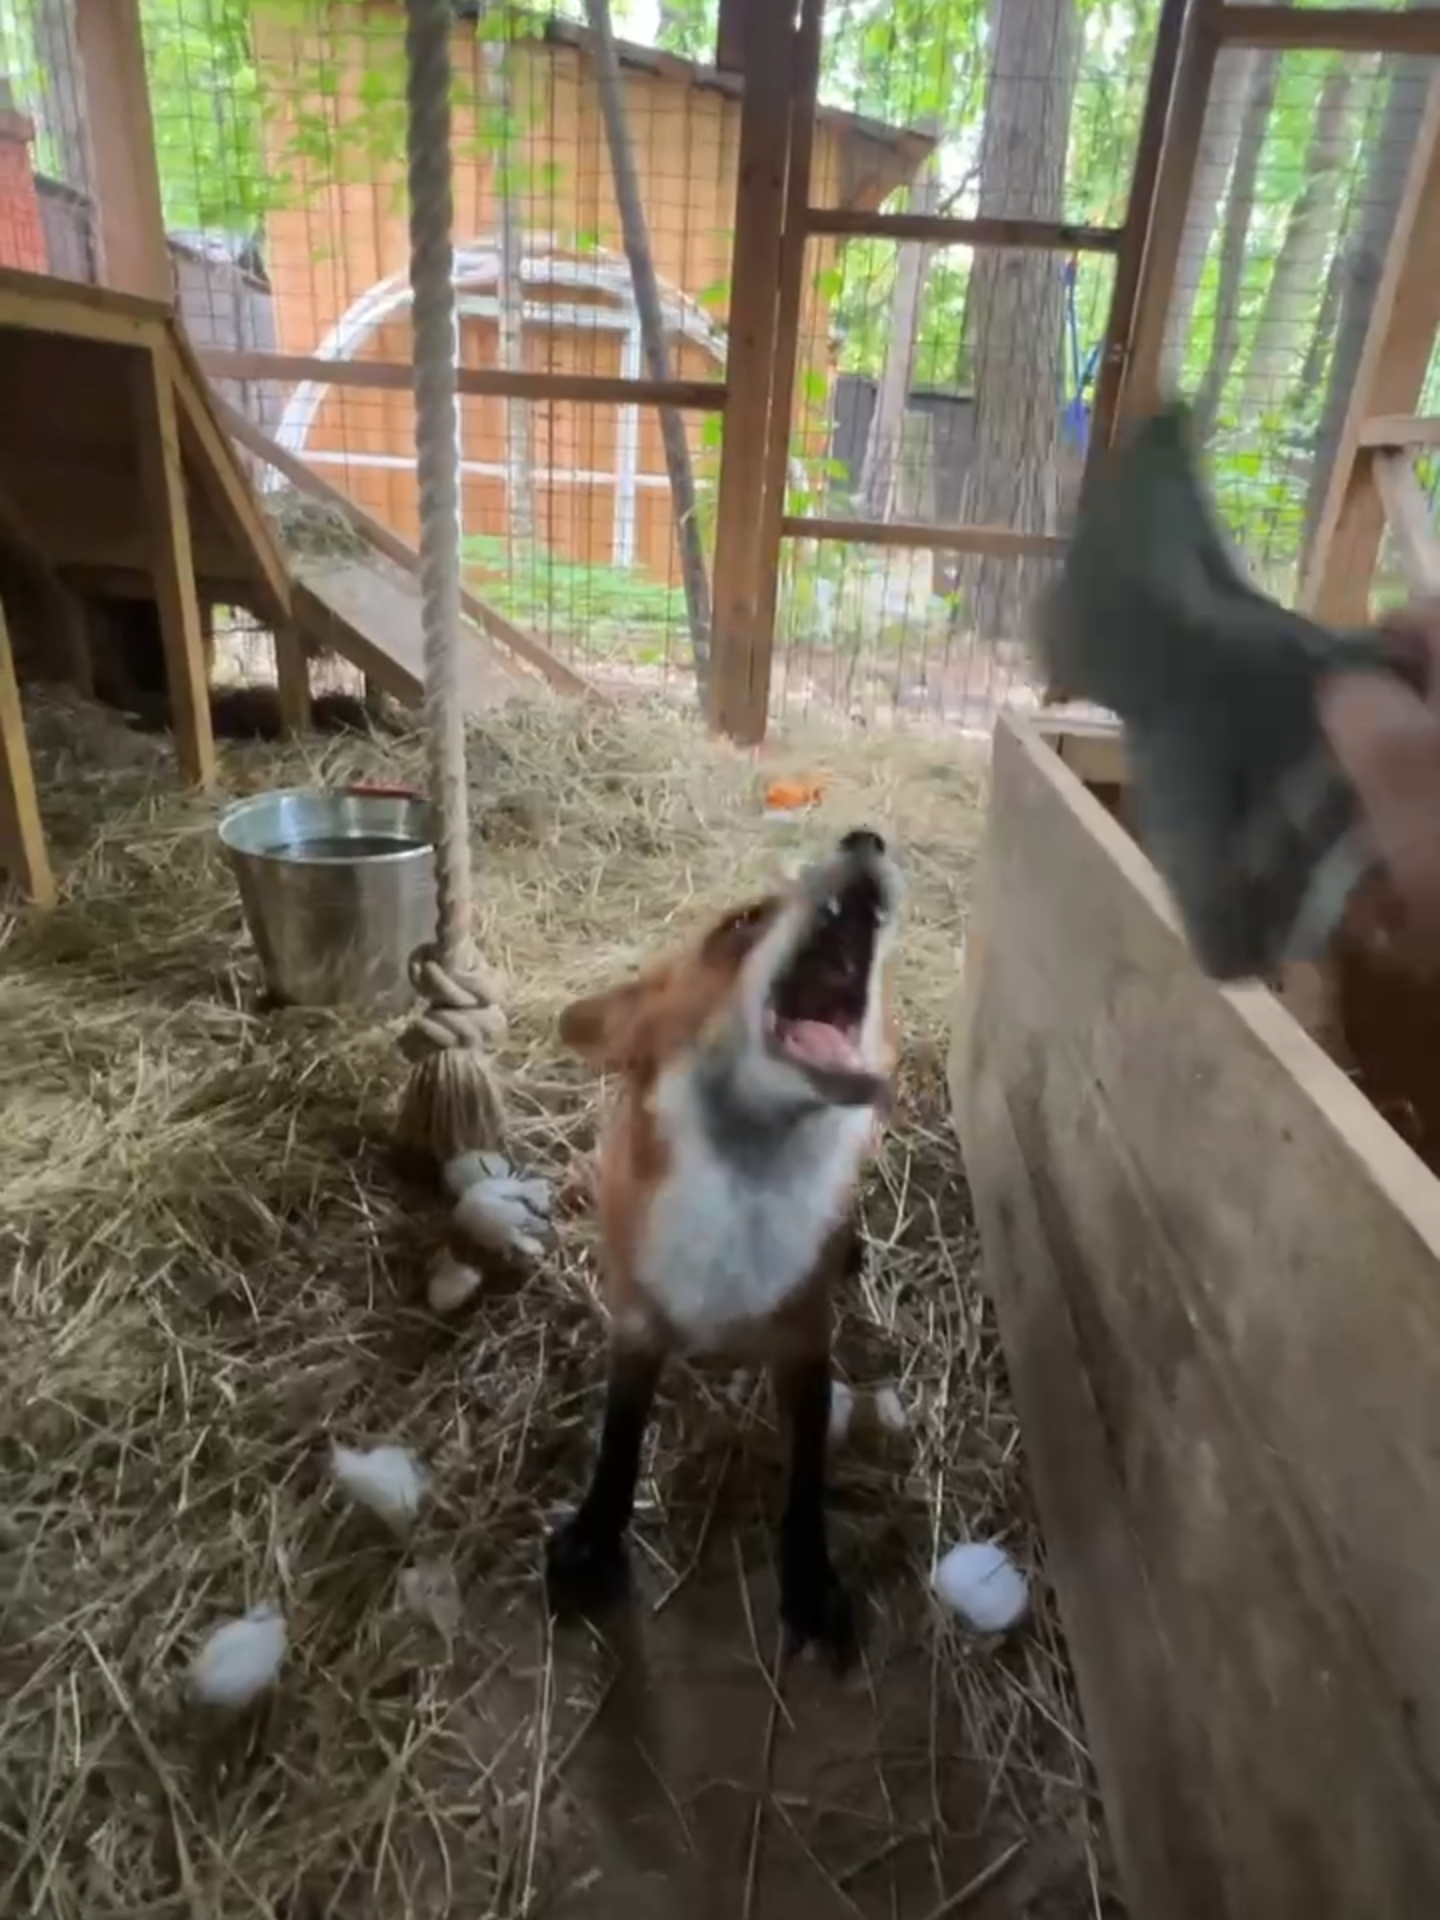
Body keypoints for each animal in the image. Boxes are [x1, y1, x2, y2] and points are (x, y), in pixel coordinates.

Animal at [546, 827, 900, 1667]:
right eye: (741, 922)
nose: (865, 839)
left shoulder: (805, 1338)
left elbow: (806, 1481)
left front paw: (808, 1578)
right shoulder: (638, 1319)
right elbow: (618, 1442)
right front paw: (595, 1537)